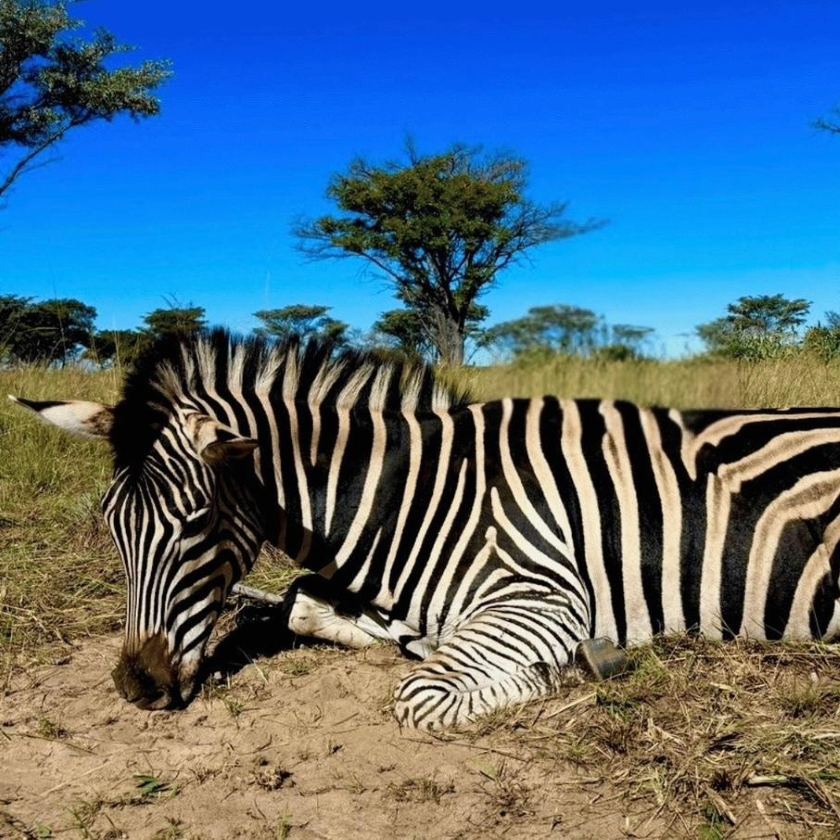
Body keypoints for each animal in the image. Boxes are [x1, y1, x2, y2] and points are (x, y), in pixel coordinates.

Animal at [11, 329, 840, 729]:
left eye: (194, 525)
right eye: (114, 528)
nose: (136, 688)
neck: (425, 495)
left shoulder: (541, 593)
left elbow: (421, 690)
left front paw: (578, 663)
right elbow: (304, 603)